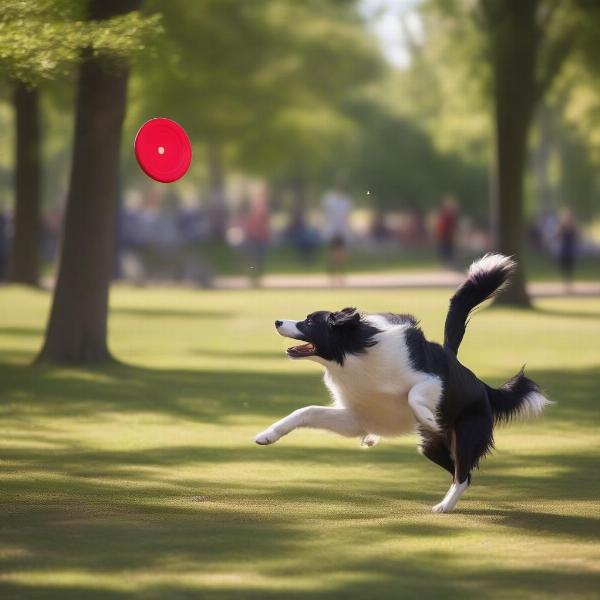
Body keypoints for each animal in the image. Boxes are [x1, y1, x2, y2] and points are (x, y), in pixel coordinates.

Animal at [255, 255, 552, 512]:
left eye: (308, 321)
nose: (278, 321)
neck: (354, 355)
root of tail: (479, 384)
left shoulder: (432, 379)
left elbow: (414, 394)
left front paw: (427, 416)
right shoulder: (357, 418)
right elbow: (305, 412)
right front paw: (267, 435)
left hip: (465, 434)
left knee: (463, 473)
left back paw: (444, 506)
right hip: (431, 447)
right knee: (460, 470)